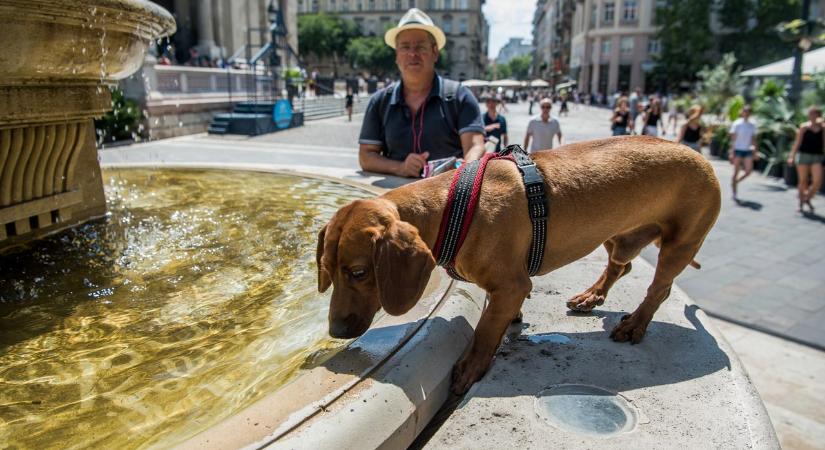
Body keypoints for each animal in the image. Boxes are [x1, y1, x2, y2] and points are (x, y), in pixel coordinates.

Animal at [316, 136, 720, 394]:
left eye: (359, 273)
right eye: (326, 271)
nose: (335, 331)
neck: (454, 208)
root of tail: (704, 161)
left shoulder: (510, 286)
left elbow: (485, 330)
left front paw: (472, 365)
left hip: (680, 244)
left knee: (659, 288)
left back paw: (636, 323)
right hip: (615, 235)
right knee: (621, 265)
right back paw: (592, 296)